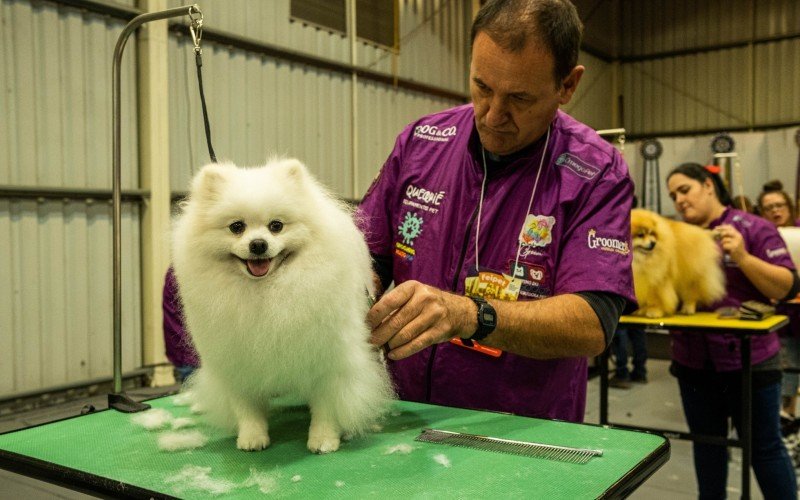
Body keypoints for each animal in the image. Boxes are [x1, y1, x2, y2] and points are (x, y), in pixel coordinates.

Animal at [172, 159, 394, 454]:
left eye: (276, 225)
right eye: (236, 227)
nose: (258, 244)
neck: (266, 291)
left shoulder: (329, 360)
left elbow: (326, 406)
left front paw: (323, 440)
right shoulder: (237, 360)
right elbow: (246, 407)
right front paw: (252, 437)